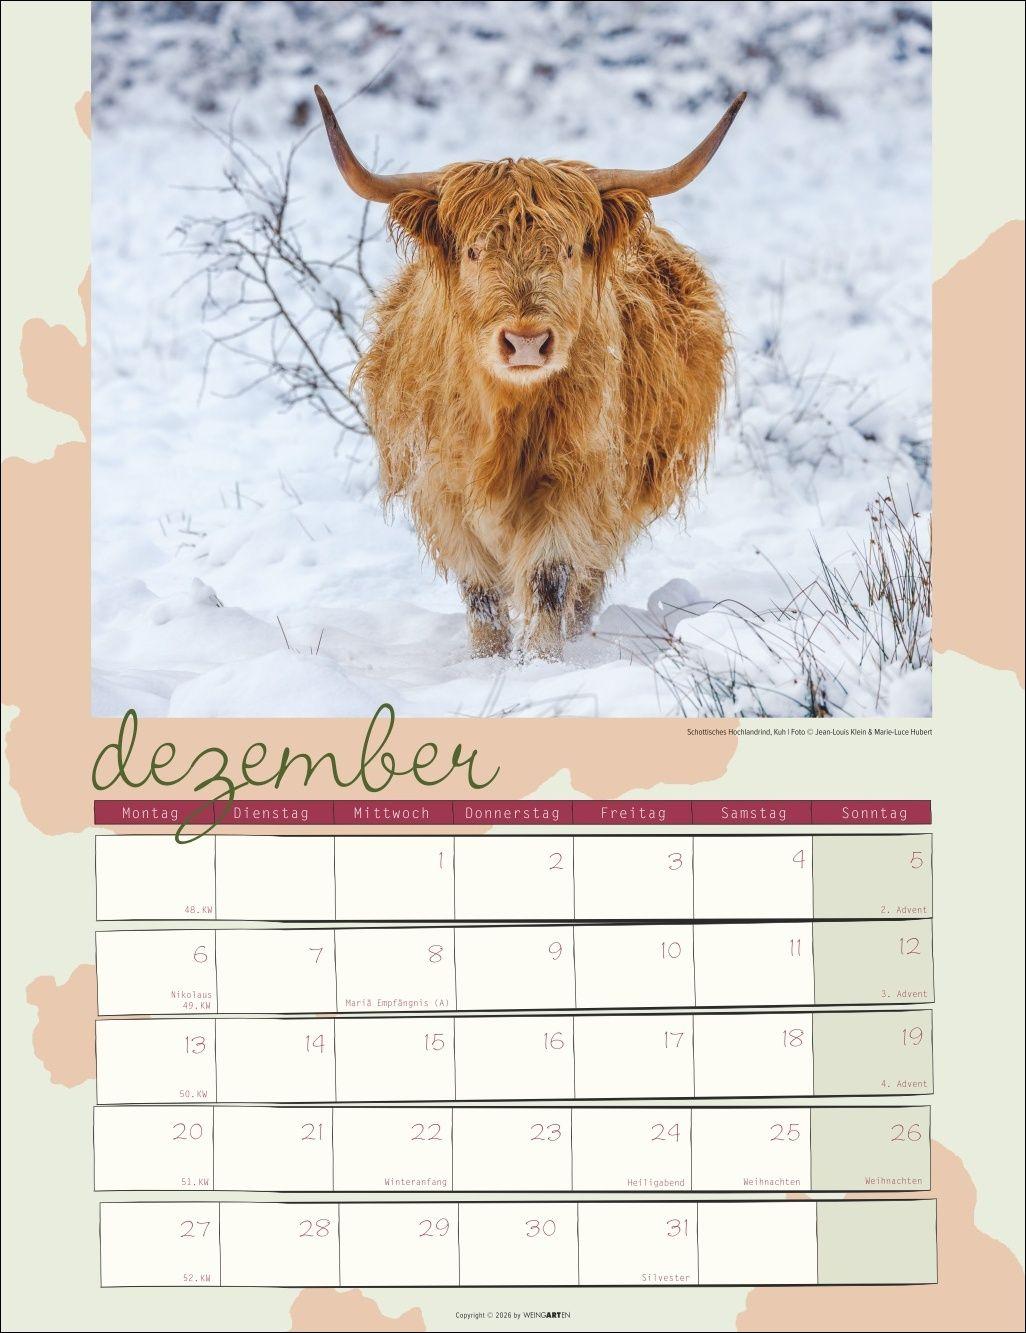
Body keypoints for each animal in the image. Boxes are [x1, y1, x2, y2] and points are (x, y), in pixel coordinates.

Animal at [314, 84, 745, 661]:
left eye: (567, 249)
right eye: (474, 250)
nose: (525, 341)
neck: (503, 417)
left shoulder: (576, 481)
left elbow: (550, 578)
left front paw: (541, 663)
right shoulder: (442, 489)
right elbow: (481, 593)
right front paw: (487, 661)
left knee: (587, 581)